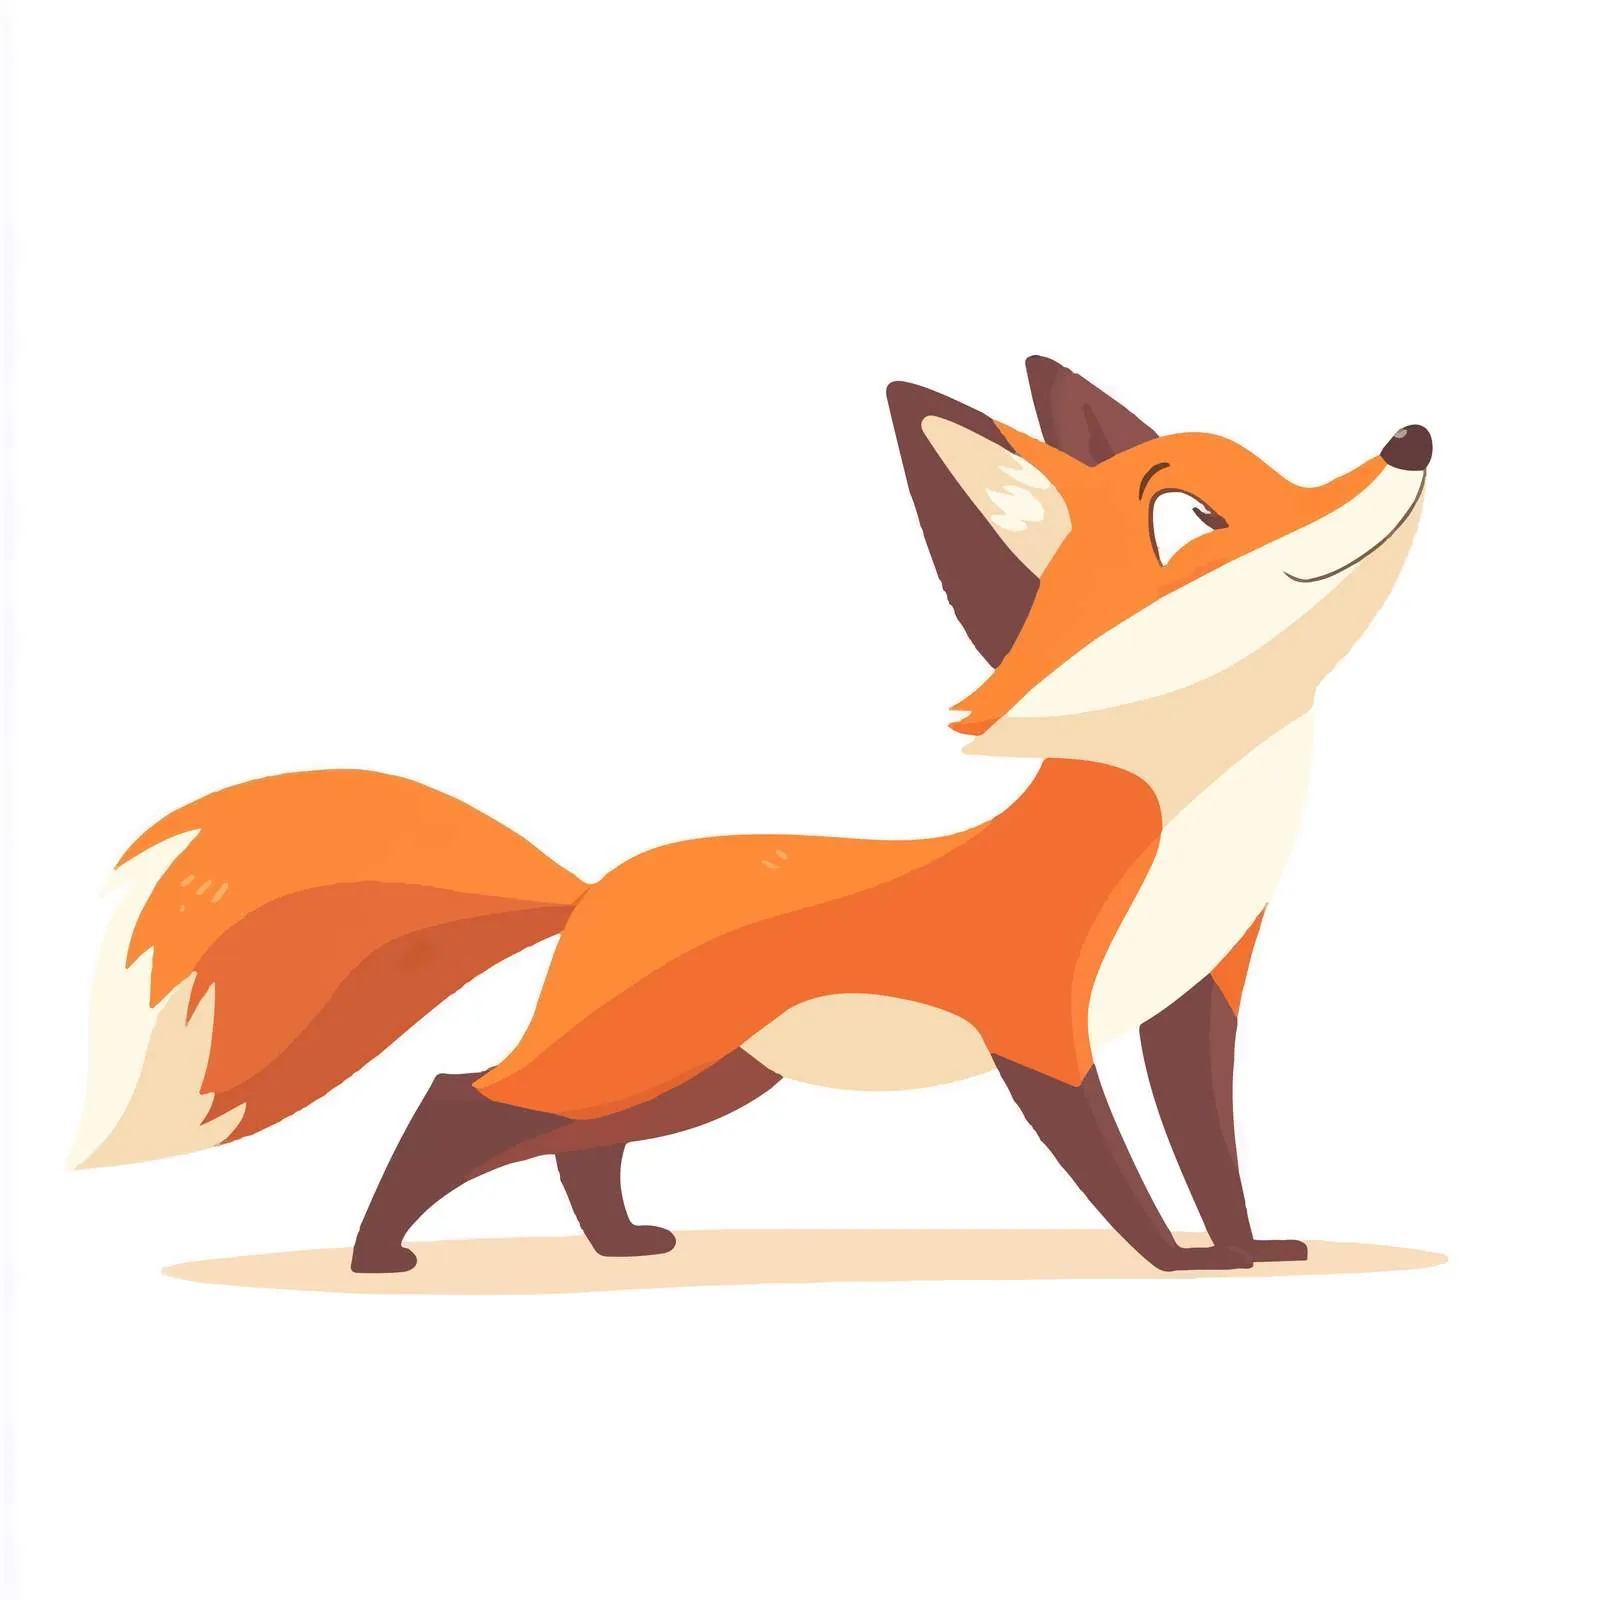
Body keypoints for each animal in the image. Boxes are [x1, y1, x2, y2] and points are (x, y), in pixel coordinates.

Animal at [73, 357, 1430, 1275]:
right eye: (1192, 515)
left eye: (1278, 469)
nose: (1409, 438)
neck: (1191, 831)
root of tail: (593, 884)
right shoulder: (1038, 1028)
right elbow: (1123, 1178)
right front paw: (1173, 1260)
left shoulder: (1195, 1007)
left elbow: (1214, 1153)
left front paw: (1246, 1250)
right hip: (632, 1058)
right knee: (460, 1096)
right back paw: (379, 1253)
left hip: (705, 1079)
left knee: (572, 1145)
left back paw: (618, 1243)